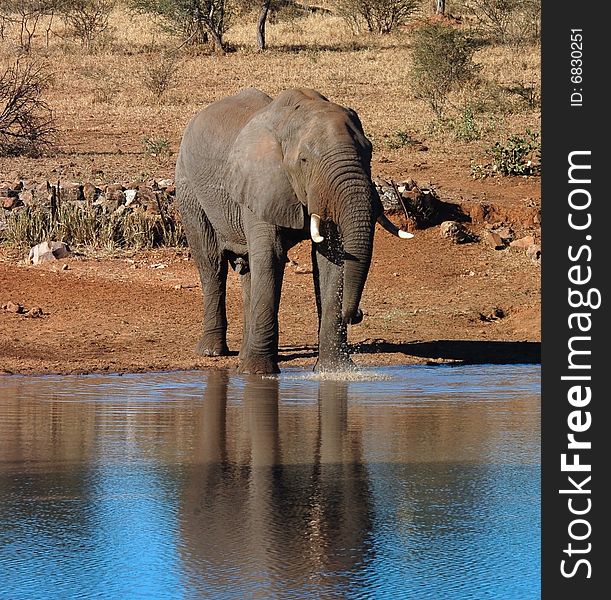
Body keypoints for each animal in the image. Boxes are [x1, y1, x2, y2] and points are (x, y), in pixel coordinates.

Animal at [177, 86, 416, 372]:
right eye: (304, 160)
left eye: (368, 152)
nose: (357, 315)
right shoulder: (260, 183)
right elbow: (271, 257)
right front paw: (258, 373)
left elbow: (333, 260)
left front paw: (333, 371)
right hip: (189, 189)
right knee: (211, 264)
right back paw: (213, 353)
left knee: (248, 270)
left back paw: (243, 355)